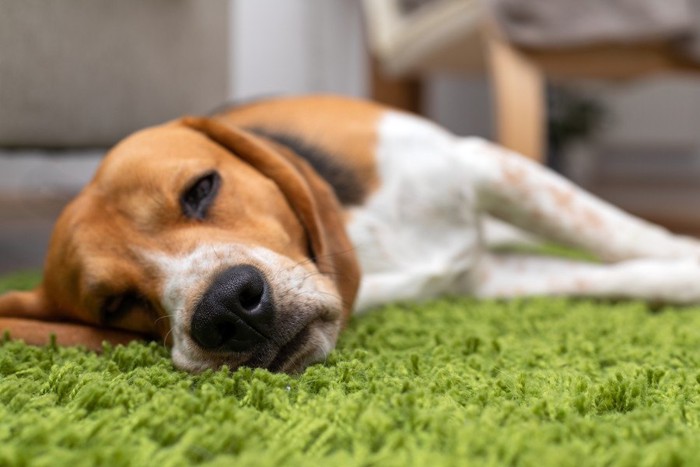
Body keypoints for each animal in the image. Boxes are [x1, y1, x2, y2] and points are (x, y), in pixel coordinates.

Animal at [1, 97, 700, 374]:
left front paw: (682, 255)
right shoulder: (480, 279)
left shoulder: (482, 164)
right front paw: (678, 281)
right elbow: (618, 272)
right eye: (113, 305)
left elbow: (625, 235)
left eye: (201, 188)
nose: (227, 309)